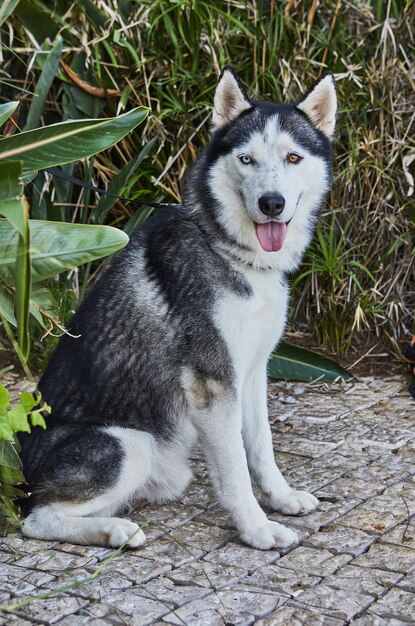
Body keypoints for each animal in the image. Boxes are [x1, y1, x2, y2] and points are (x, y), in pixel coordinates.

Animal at [20, 66, 338, 548]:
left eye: (293, 158)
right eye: (247, 160)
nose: (272, 204)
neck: (227, 248)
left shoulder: (252, 372)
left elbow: (261, 448)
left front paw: (281, 498)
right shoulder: (213, 384)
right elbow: (236, 469)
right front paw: (257, 529)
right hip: (127, 443)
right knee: (36, 519)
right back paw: (114, 531)